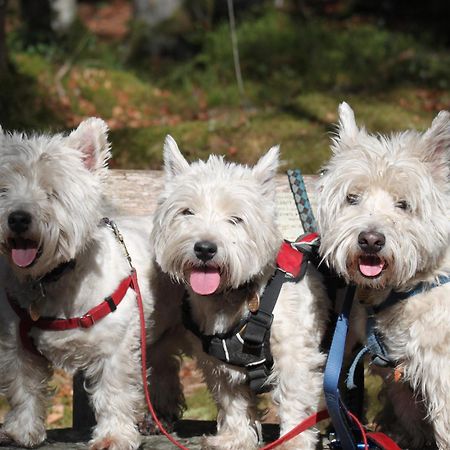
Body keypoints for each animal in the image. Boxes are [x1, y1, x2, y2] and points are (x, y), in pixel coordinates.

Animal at [0, 118, 154, 448]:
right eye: (3, 190)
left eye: (51, 193)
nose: (17, 218)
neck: (52, 279)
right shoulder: (16, 344)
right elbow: (23, 388)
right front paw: (23, 430)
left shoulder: (115, 347)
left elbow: (114, 392)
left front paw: (114, 435)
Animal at [149, 138, 328, 450]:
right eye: (187, 212)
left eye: (236, 219)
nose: (205, 248)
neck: (236, 296)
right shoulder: (217, 363)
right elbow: (232, 401)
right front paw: (235, 438)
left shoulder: (294, 356)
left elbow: (294, 401)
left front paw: (292, 442)